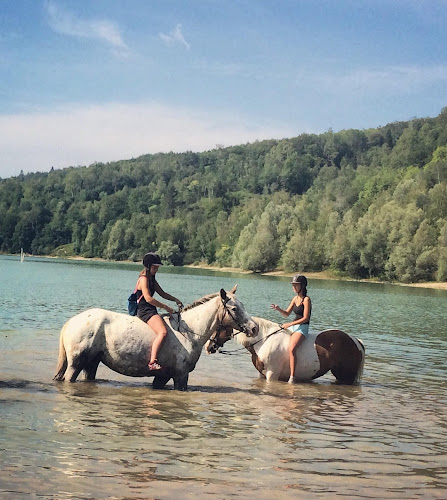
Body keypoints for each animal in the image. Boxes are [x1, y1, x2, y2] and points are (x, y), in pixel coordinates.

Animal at [53, 286, 260, 390]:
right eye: (234, 308)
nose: (254, 328)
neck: (189, 332)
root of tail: (71, 322)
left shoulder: (163, 376)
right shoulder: (180, 376)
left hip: (92, 363)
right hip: (76, 364)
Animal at [208, 318, 366, 384]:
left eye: (218, 326)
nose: (208, 347)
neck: (264, 340)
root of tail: (356, 341)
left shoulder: (272, 375)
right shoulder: (261, 374)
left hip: (346, 376)